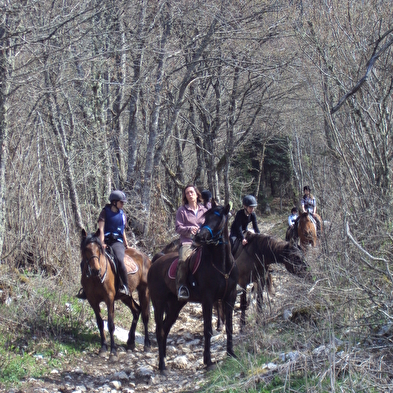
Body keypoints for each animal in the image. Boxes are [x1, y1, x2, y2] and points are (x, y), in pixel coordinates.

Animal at [80, 227, 152, 356]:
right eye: (86, 249)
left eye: (99, 249)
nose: (95, 270)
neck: (95, 278)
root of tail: (145, 257)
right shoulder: (92, 300)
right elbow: (100, 323)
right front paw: (103, 347)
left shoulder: (109, 299)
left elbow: (110, 324)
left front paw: (113, 350)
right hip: (126, 296)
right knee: (136, 310)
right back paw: (130, 342)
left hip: (144, 290)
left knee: (145, 315)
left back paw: (147, 344)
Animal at [148, 201, 237, 372]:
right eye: (206, 217)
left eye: (219, 219)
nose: (199, 236)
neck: (221, 265)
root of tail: (155, 262)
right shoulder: (208, 300)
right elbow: (207, 330)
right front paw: (208, 361)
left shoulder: (230, 298)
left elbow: (229, 326)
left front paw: (231, 353)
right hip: (158, 303)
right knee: (160, 331)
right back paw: (162, 366)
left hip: (175, 305)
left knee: (165, 329)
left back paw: (164, 360)